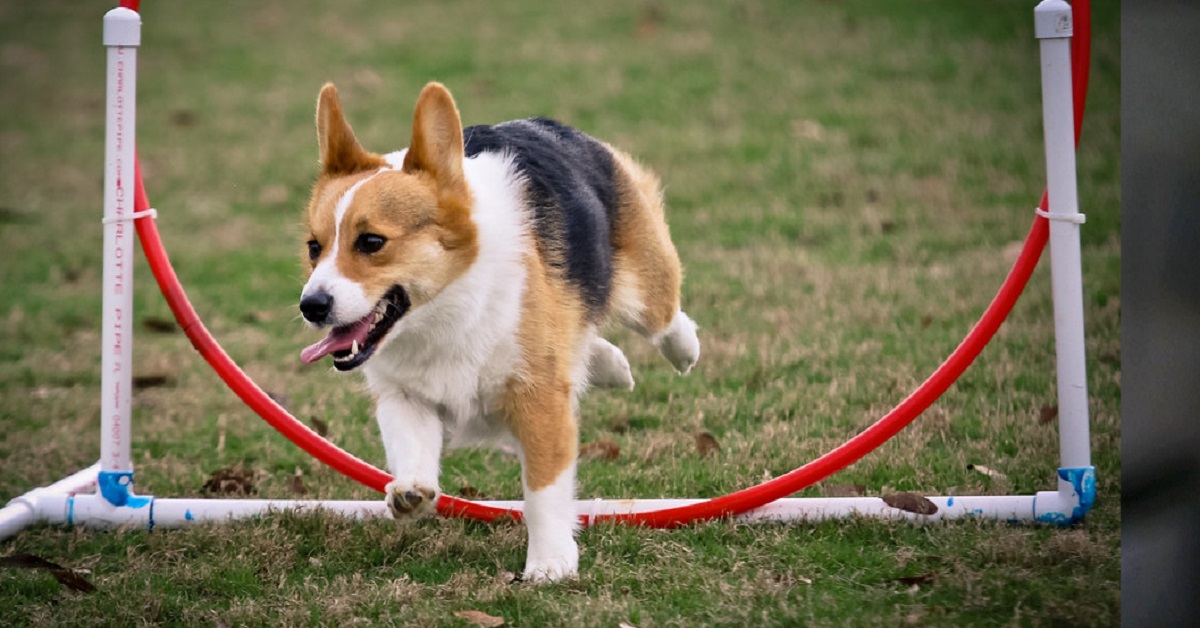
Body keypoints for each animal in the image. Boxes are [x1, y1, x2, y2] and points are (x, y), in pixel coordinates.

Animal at [294, 81, 700, 583]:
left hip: (641, 288)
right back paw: (612, 366)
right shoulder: (404, 395)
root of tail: (558, 128)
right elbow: (410, 443)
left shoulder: (540, 401)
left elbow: (544, 491)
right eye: (314, 247)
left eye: (371, 242)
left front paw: (549, 563)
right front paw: (411, 492)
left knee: (663, 315)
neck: (445, 307)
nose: (311, 306)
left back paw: (683, 348)